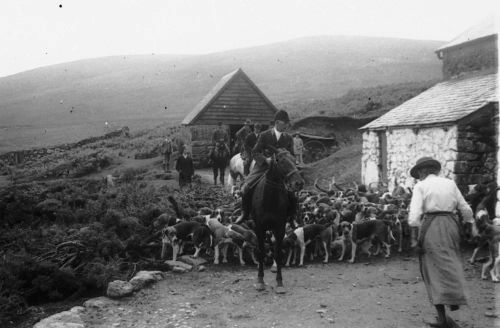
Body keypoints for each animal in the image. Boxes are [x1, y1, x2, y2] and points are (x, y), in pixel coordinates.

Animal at [250, 147, 304, 294]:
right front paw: (260, 280)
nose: (299, 183)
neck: (270, 199)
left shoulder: (280, 227)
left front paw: (279, 282)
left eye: (294, 160)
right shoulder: (260, 228)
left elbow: (279, 253)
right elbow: (261, 251)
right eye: (282, 161)